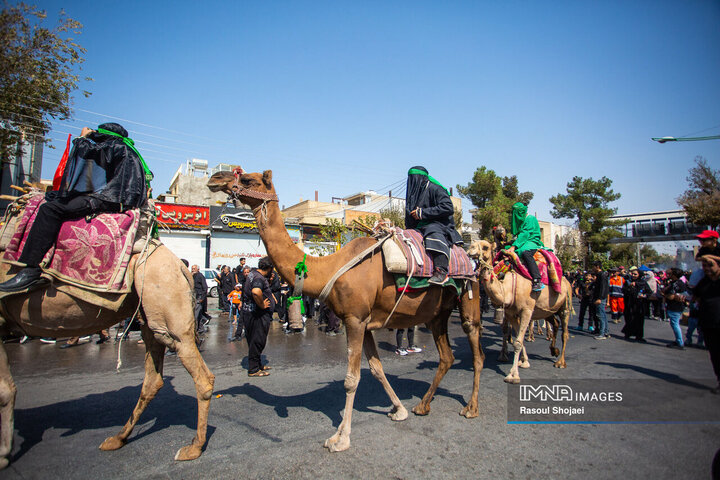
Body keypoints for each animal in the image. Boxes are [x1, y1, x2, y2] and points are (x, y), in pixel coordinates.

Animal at [0, 199, 214, 468]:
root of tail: (180, 266)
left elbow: (5, 390)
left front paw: (3, 454)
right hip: (150, 317)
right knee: (153, 379)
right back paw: (118, 438)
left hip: (168, 316)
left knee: (201, 377)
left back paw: (194, 447)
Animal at [208, 170, 484, 454]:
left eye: (249, 179)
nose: (216, 178)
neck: (329, 268)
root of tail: (470, 256)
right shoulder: (366, 323)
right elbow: (376, 369)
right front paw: (399, 410)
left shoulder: (355, 320)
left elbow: (352, 379)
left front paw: (340, 438)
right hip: (437, 314)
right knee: (447, 357)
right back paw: (422, 405)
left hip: (470, 297)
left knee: (476, 351)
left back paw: (471, 407)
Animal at [466, 240, 572, 382]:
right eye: (473, 244)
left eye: (485, 247)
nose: (470, 249)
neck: (507, 288)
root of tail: (566, 280)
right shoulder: (511, 313)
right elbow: (516, 337)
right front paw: (524, 361)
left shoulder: (526, 310)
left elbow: (518, 342)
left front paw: (513, 375)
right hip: (546, 310)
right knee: (555, 323)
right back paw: (553, 350)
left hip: (564, 305)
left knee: (564, 332)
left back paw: (560, 362)